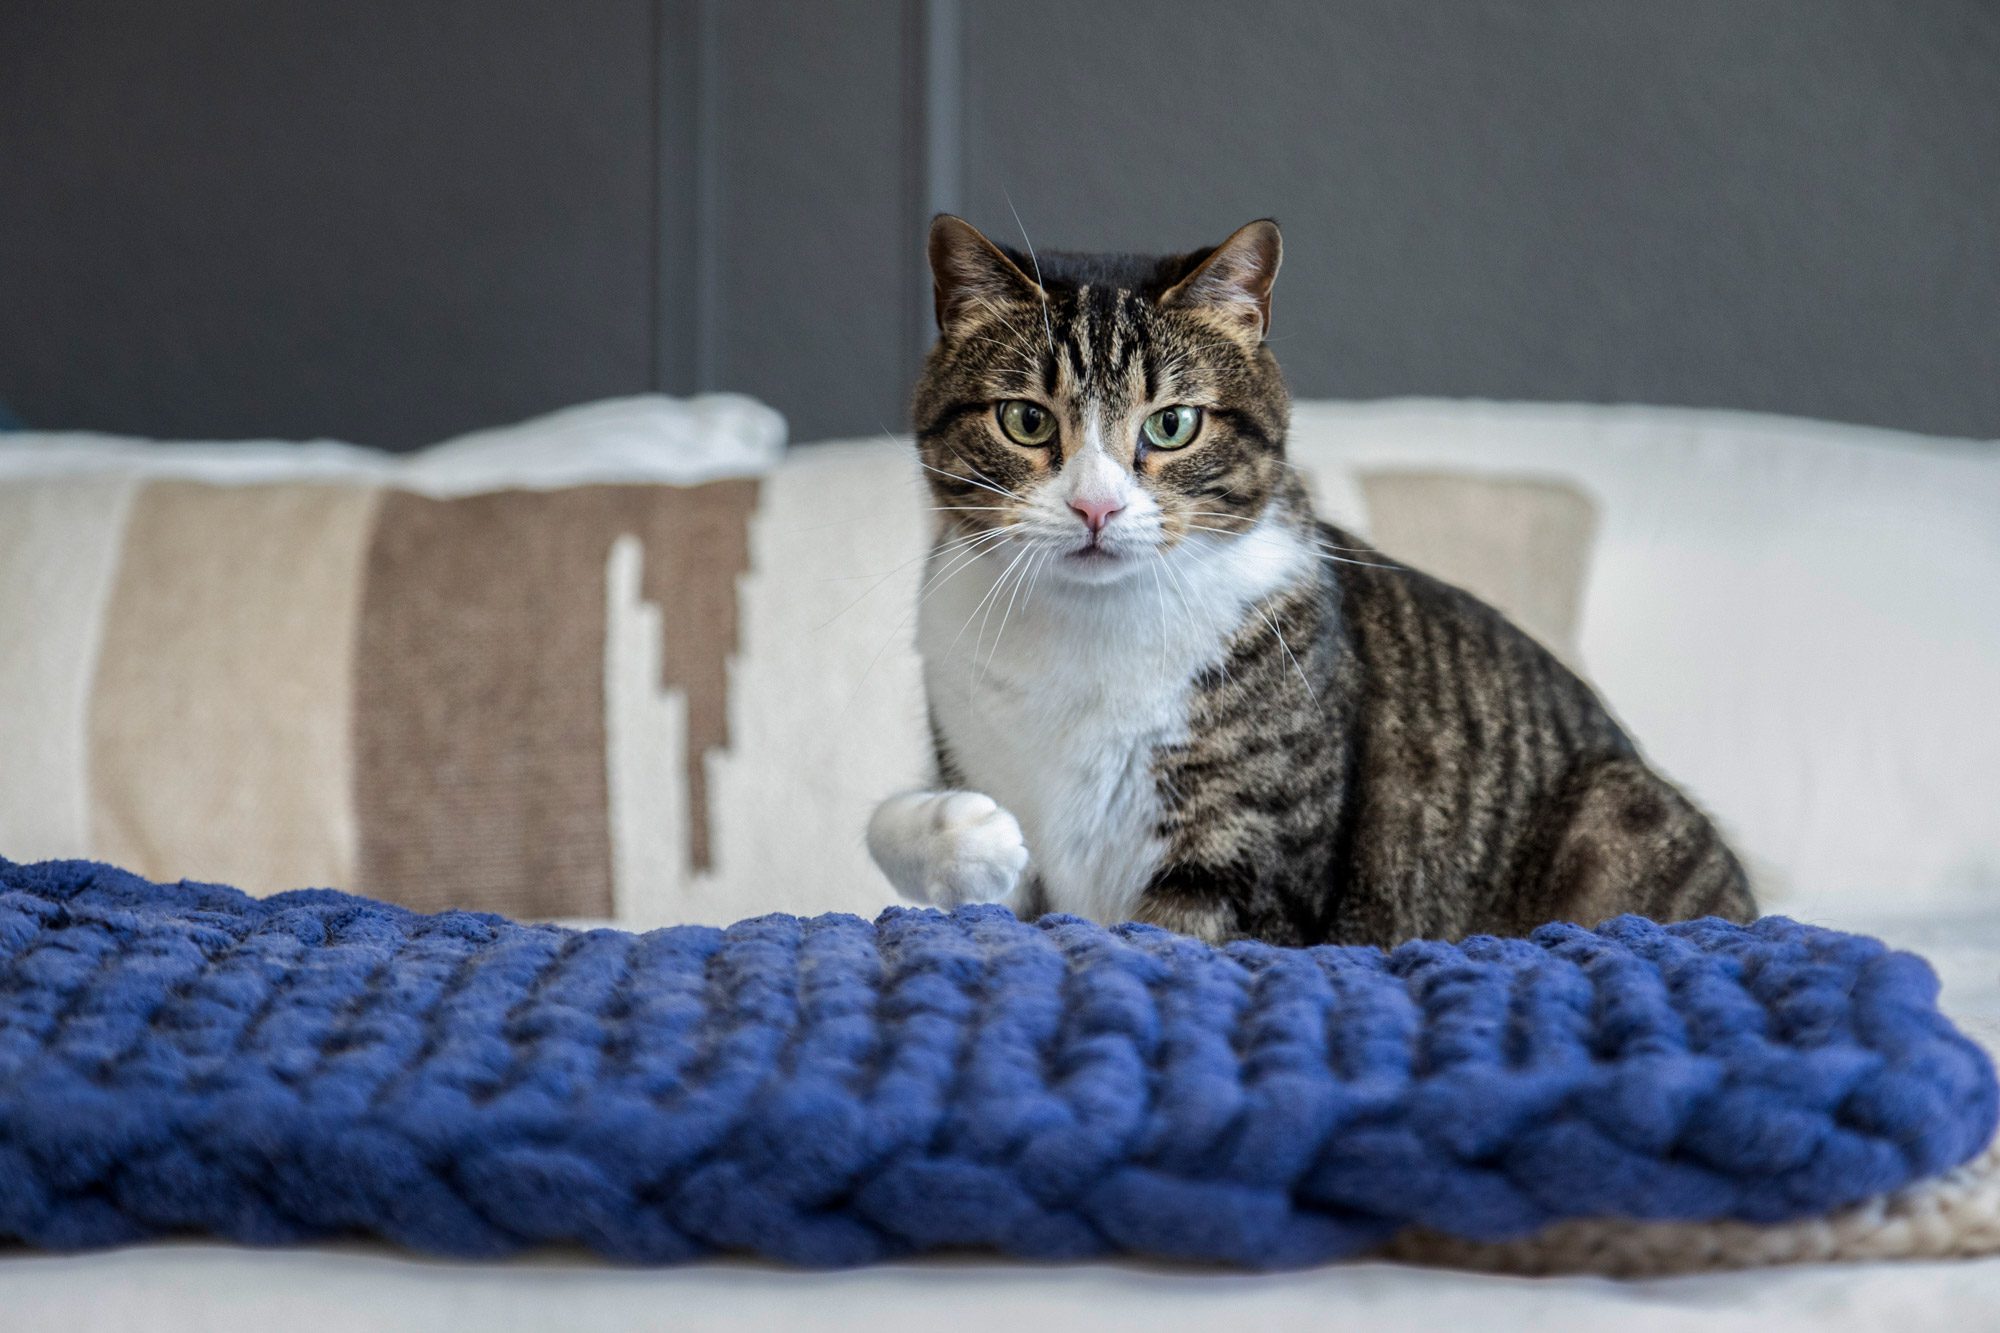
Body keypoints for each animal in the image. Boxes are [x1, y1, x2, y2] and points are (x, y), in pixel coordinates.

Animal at [860, 215, 1752, 944]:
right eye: (1026, 419)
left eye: (1172, 424)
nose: (1095, 506)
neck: (1086, 633)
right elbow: (900, 830)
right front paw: (964, 835)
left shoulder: (1245, 867)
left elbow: (1156, 934)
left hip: (1616, 813)